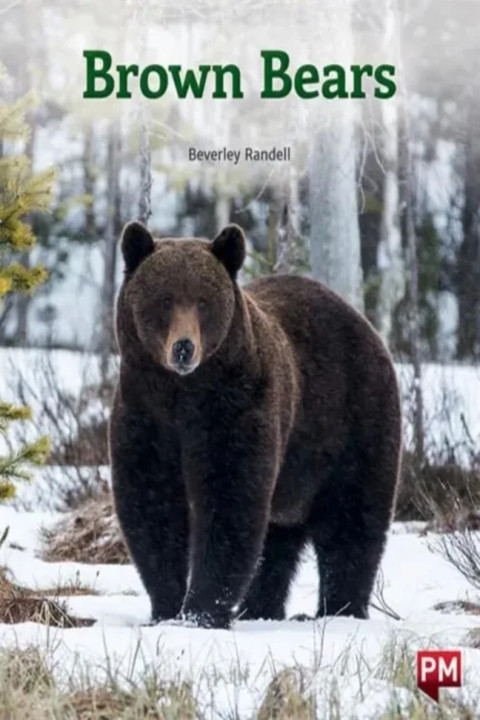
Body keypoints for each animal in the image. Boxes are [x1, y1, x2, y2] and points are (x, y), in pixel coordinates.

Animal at [109, 220, 402, 629]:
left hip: (353, 419)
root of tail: (364, 322)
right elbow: (152, 505)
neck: (183, 395)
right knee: (278, 541)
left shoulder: (234, 409)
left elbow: (229, 501)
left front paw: (201, 612)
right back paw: (261, 608)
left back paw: (341, 609)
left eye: (203, 300)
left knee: (352, 519)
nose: (184, 348)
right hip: (296, 470)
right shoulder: (145, 415)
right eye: (164, 299)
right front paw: (166, 608)